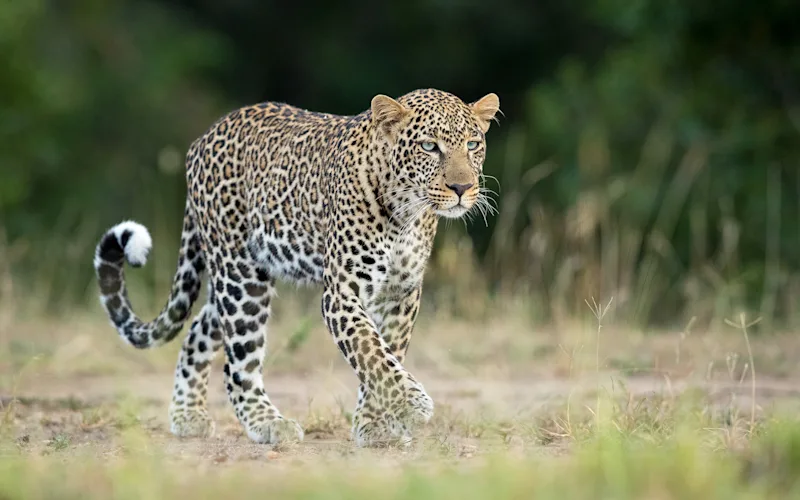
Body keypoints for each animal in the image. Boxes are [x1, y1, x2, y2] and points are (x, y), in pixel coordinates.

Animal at [93, 88, 500, 447]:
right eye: (429, 147)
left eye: (472, 145)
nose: (462, 187)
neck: (406, 213)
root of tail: (203, 138)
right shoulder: (342, 292)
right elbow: (371, 351)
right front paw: (412, 405)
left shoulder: (401, 294)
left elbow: (388, 353)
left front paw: (375, 424)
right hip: (241, 276)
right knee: (238, 362)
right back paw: (267, 423)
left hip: (237, 278)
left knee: (199, 330)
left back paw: (186, 416)